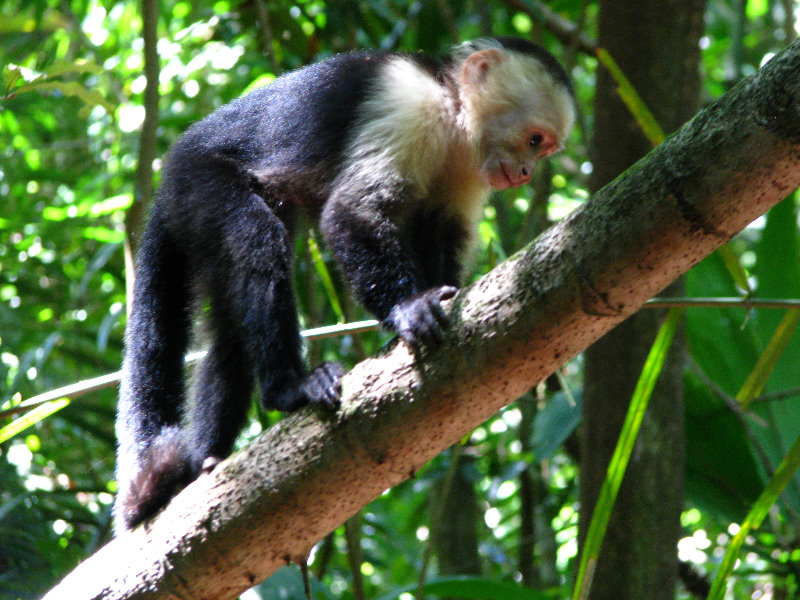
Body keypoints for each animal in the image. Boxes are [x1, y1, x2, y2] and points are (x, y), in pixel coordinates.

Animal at [114, 37, 576, 532]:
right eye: (534, 140)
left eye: (543, 151)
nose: (527, 172)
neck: (452, 111)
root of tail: (167, 178)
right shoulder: (408, 103)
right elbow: (350, 214)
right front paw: (409, 307)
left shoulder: (468, 168)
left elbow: (440, 232)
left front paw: (437, 298)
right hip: (198, 183)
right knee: (255, 240)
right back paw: (287, 388)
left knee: (231, 332)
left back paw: (206, 460)